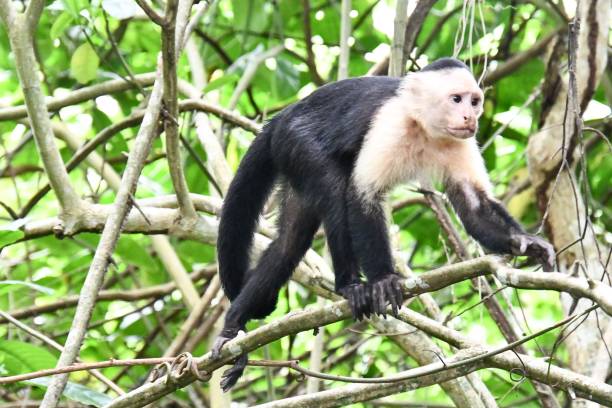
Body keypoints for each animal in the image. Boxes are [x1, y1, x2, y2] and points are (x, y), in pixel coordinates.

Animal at [210, 56, 556, 388]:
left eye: (474, 101)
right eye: (456, 99)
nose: (470, 117)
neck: (424, 126)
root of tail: (281, 117)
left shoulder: (461, 142)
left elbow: (474, 206)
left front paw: (524, 242)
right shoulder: (390, 123)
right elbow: (362, 195)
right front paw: (383, 280)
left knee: (288, 243)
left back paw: (235, 322)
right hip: (297, 142)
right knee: (333, 188)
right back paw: (347, 286)